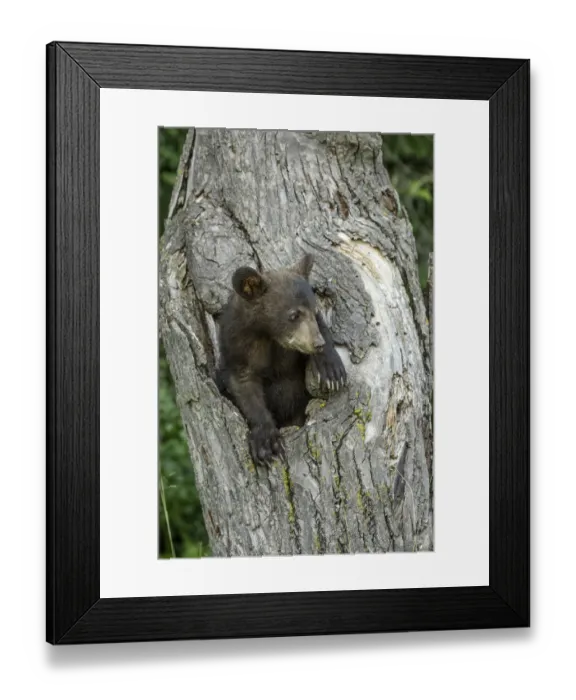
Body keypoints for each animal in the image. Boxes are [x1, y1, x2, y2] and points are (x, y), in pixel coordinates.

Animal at [215, 253, 347, 466]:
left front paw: (332, 370)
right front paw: (267, 443)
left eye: (315, 310)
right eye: (294, 315)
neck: (269, 337)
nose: (317, 343)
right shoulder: (237, 348)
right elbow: (244, 387)